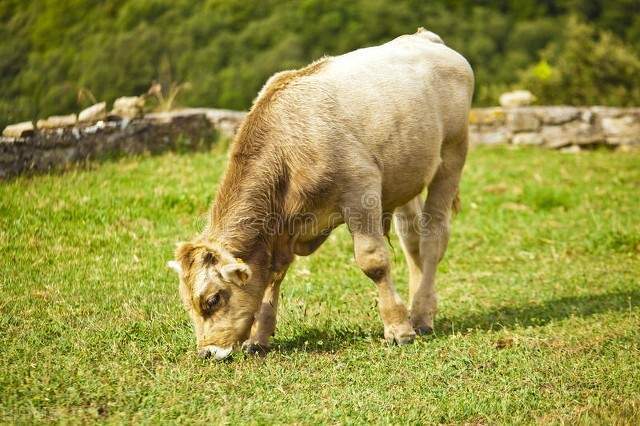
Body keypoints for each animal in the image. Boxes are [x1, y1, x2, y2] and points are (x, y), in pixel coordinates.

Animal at [168, 27, 472, 360]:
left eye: (213, 299)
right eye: (187, 304)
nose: (207, 352)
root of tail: (424, 38)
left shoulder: (361, 191)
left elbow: (374, 262)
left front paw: (398, 329)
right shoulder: (280, 231)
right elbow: (272, 275)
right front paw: (259, 338)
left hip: (452, 154)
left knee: (433, 238)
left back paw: (421, 315)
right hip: (407, 175)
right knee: (412, 240)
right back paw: (415, 309)